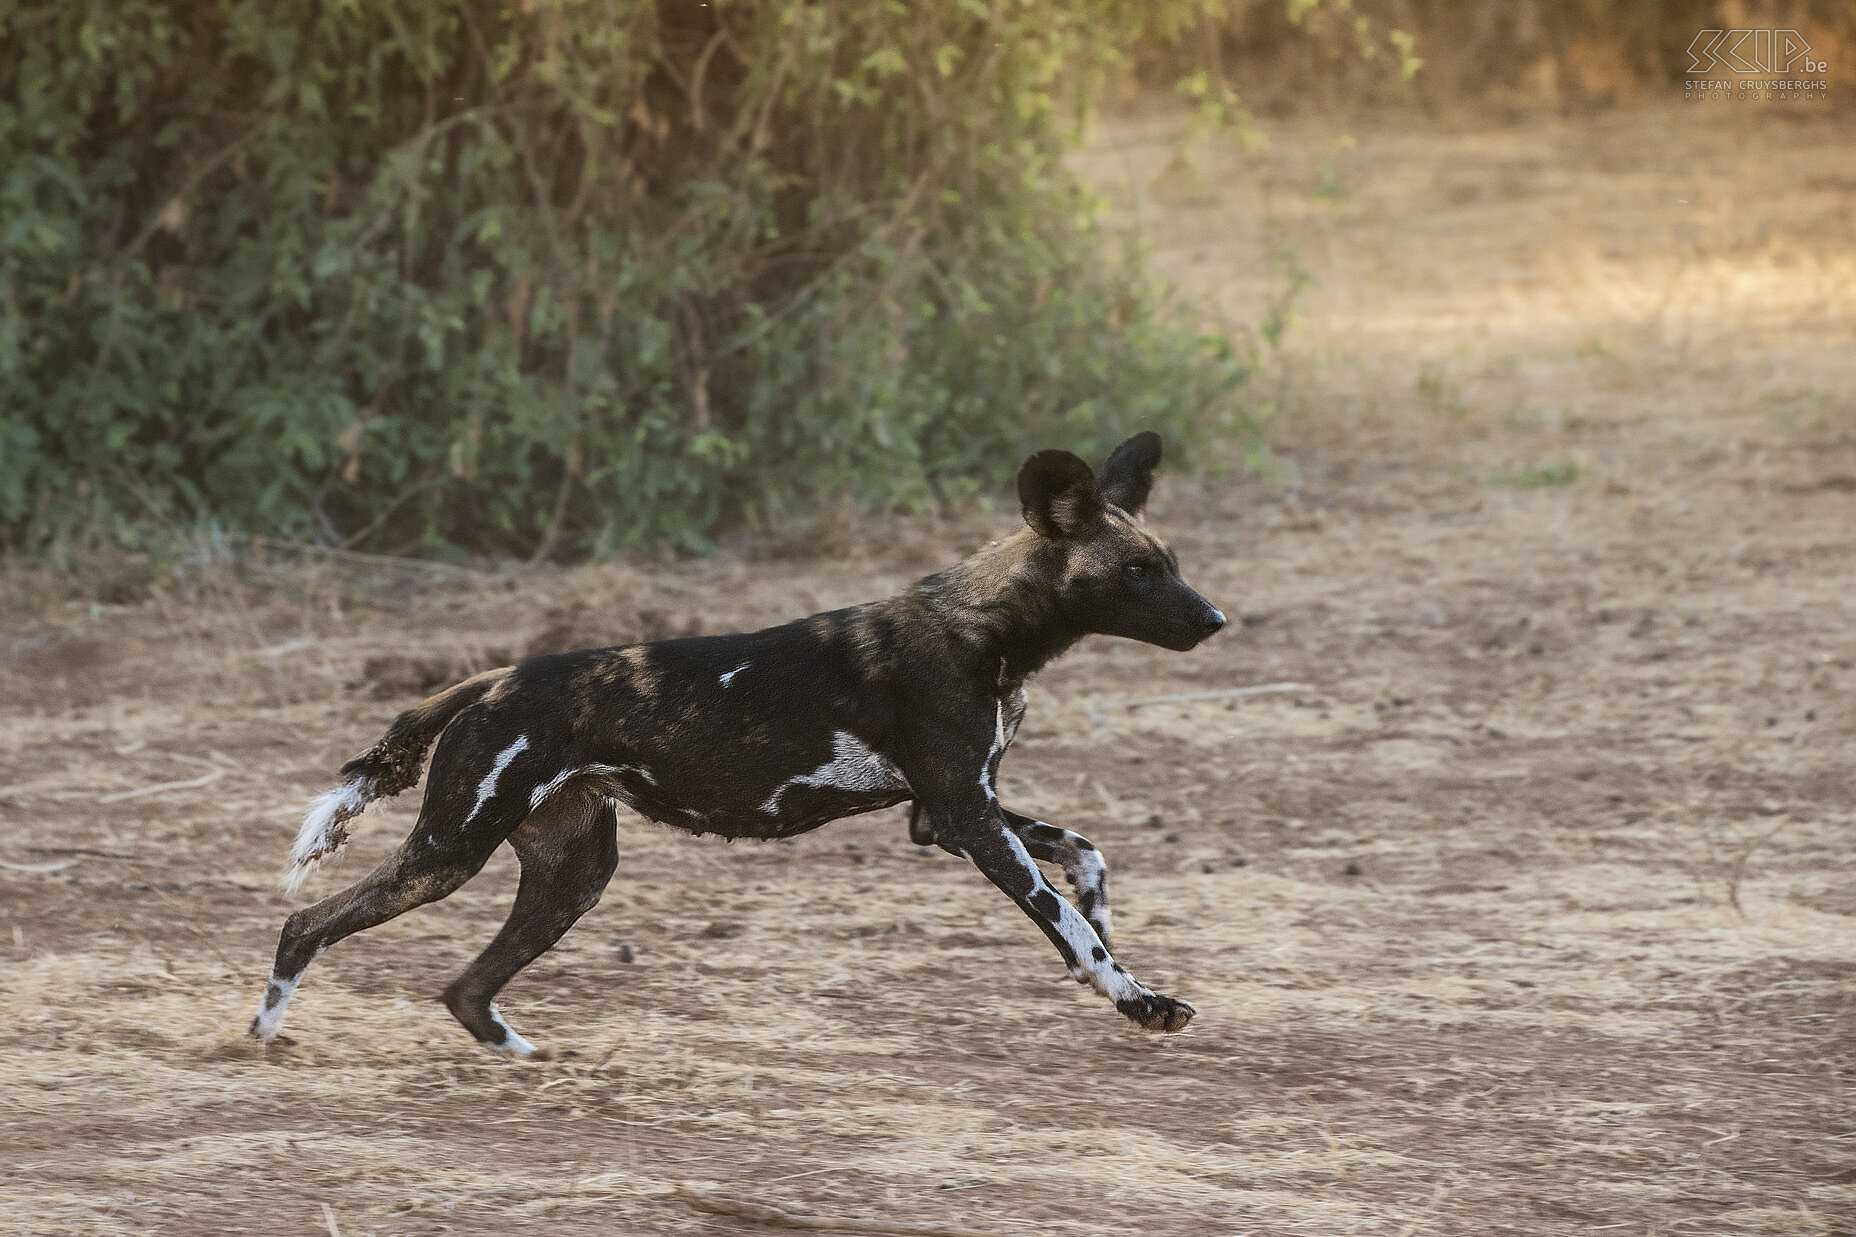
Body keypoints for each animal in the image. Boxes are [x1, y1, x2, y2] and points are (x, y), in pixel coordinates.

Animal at [250, 432, 1232, 1047]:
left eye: (1172, 563)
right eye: (1139, 570)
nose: (1216, 620)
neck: (986, 629)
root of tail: (490, 678)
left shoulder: (945, 817)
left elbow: (1089, 859)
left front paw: (1112, 947)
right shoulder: (967, 817)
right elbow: (1067, 923)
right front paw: (1134, 996)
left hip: (572, 875)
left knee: (464, 987)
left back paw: (520, 1056)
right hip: (449, 854)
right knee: (305, 923)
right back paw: (262, 1034)